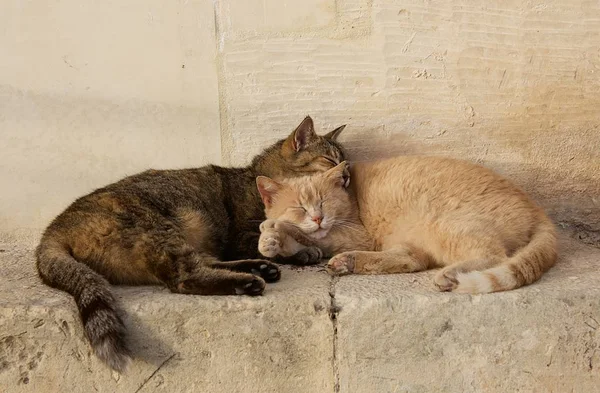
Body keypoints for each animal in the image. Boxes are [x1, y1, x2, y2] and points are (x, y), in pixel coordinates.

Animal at [35, 115, 346, 370]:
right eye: (329, 161)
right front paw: (303, 250)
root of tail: (54, 228)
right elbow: (283, 241)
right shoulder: (244, 235)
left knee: (205, 263)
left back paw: (258, 269)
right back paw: (247, 281)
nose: (346, 177)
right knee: (184, 277)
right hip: (160, 230)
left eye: (343, 163)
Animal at [255, 156, 556, 294]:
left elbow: (312, 235)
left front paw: (276, 230)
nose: (318, 218)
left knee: (494, 255)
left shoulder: (355, 234)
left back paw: (450, 275)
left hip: (444, 223)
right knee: (411, 259)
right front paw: (273, 241)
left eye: (324, 202)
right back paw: (347, 262)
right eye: (299, 207)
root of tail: (537, 208)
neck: (352, 197)